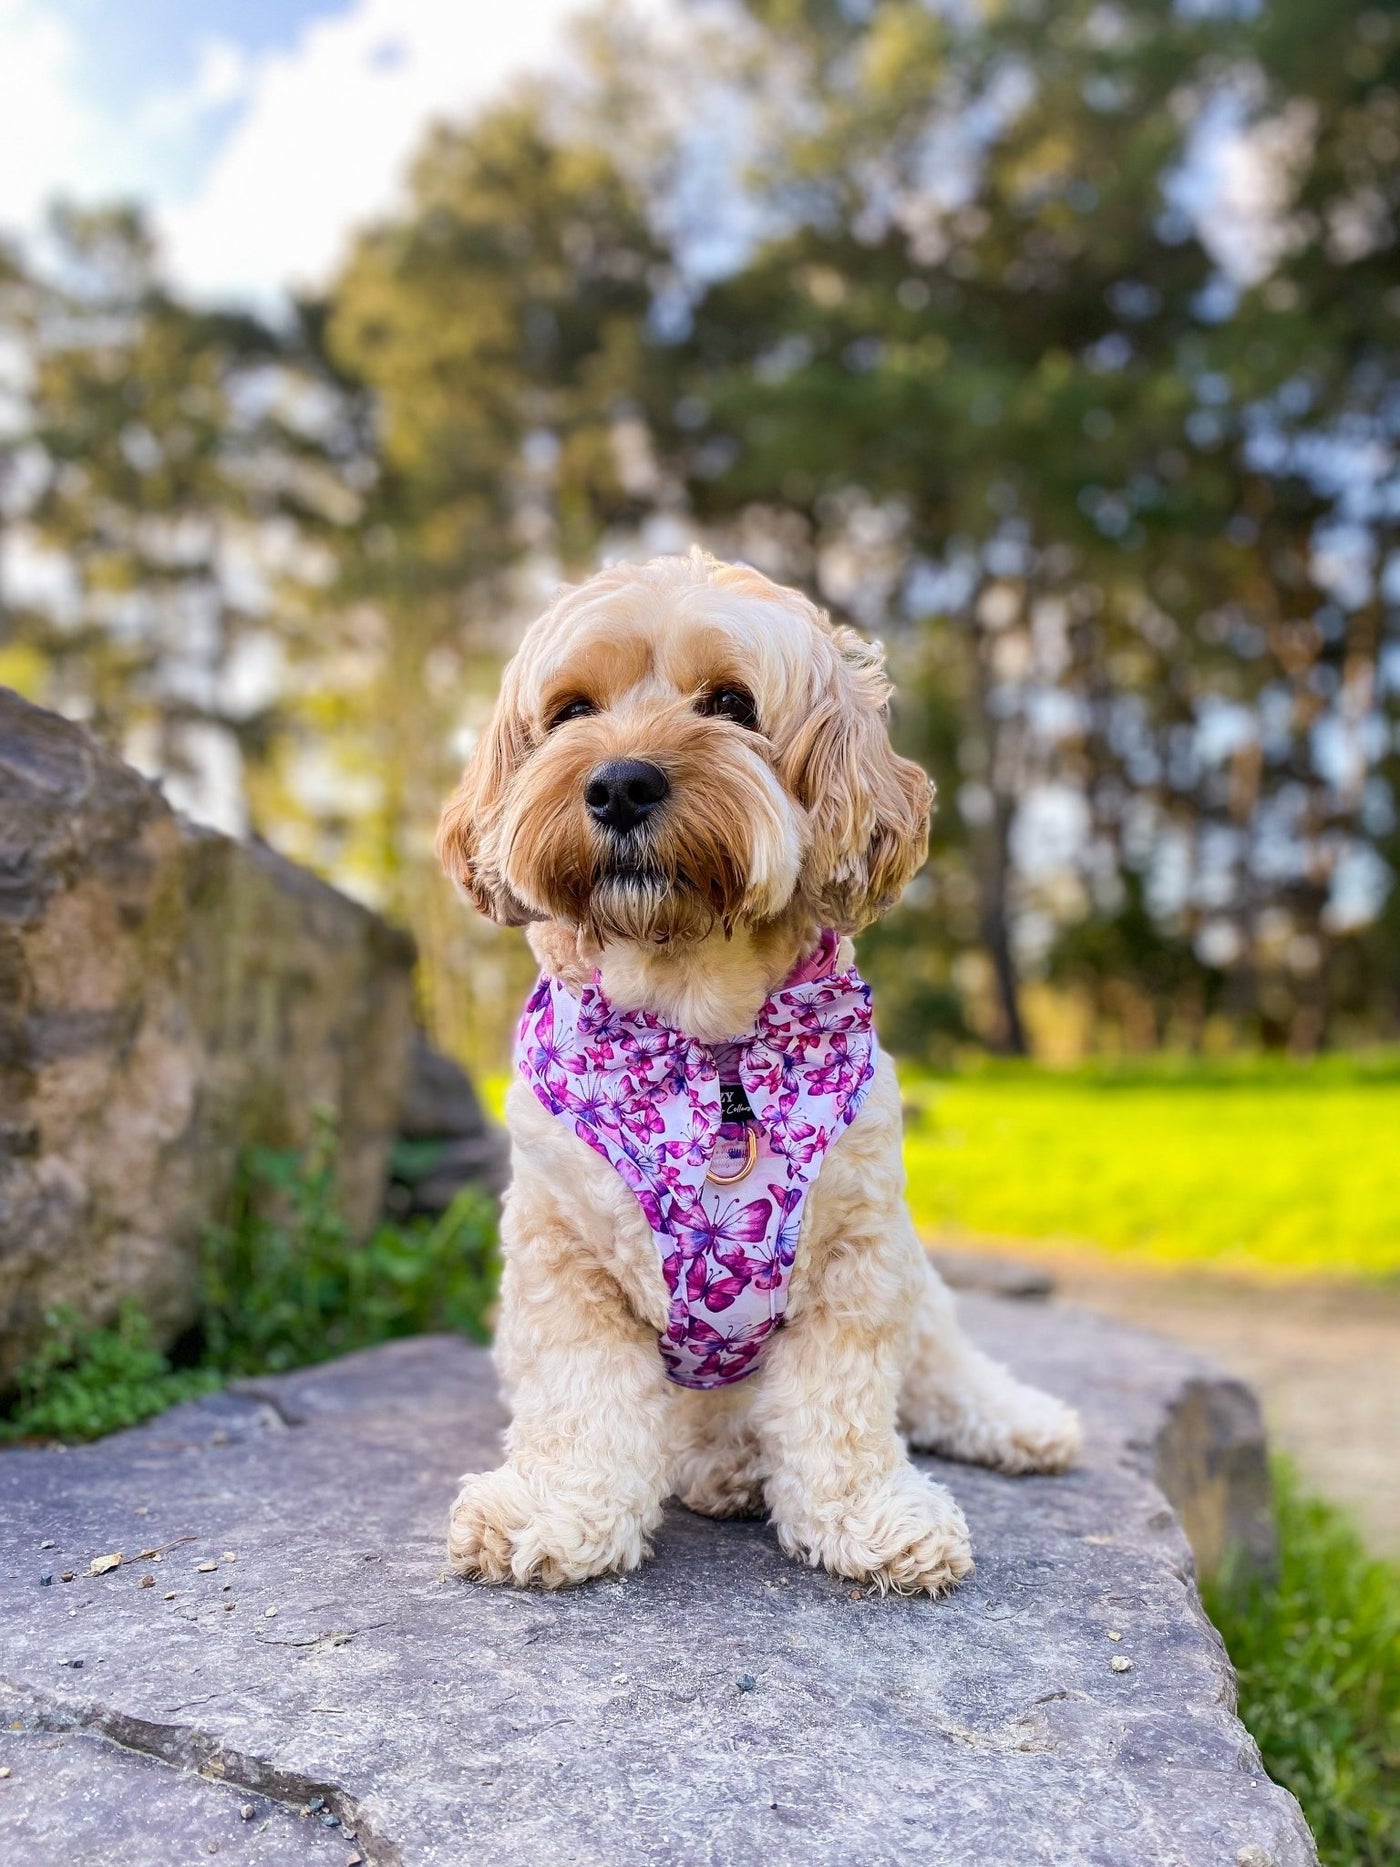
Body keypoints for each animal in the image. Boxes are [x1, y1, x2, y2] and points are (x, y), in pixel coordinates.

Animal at [438, 545, 1082, 1598]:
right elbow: (581, 1397)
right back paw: (725, 1464)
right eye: (571, 711)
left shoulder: (860, 1250)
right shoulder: (561, 1255)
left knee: (941, 1362)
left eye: (732, 703)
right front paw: (556, 1509)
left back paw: (1017, 1422)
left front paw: (870, 1514)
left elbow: (844, 1406)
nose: (619, 784)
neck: (710, 1046)